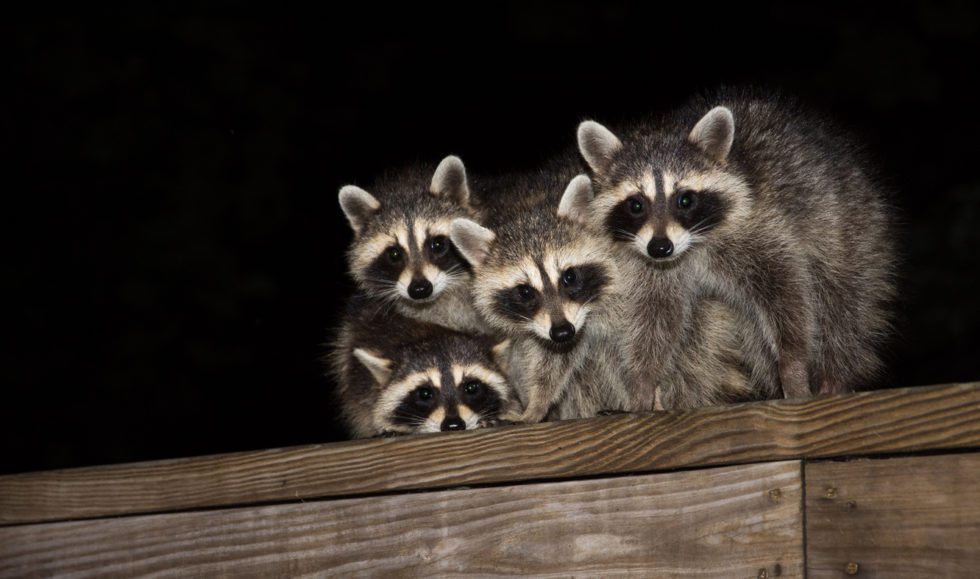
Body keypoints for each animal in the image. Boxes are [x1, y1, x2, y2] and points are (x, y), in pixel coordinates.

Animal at [451, 156, 645, 423]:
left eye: (569, 277)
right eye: (525, 292)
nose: (562, 331)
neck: (529, 207)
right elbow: (554, 357)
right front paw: (537, 404)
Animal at [569, 89, 895, 400]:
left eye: (685, 200)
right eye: (636, 205)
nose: (660, 248)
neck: (692, 246)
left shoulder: (758, 228)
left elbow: (786, 293)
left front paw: (793, 361)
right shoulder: (653, 267)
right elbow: (657, 317)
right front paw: (645, 380)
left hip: (848, 225)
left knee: (841, 301)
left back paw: (834, 372)